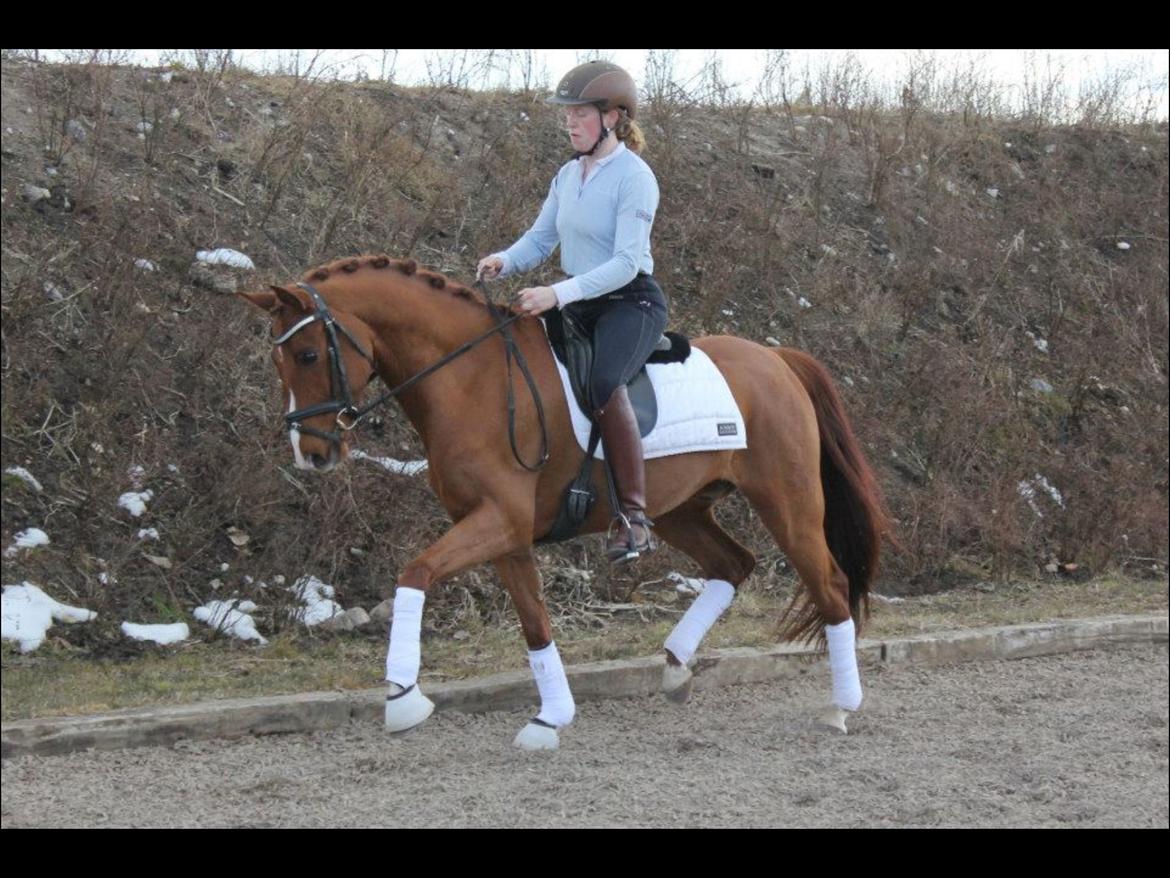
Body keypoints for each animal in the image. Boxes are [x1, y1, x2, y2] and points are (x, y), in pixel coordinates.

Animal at [240, 254, 888, 750]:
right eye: (278, 360)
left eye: (308, 356)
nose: (311, 454)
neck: (472, 380)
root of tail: (777, 358)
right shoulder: (503, 533)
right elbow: (534, 623)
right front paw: (550, 718)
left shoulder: (498, 520)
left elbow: (414, 572)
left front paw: (402, 698)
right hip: (681, 509)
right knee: (734, 564)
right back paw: (676, 669)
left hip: (787, 501)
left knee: (828, 584)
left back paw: (841, 706)